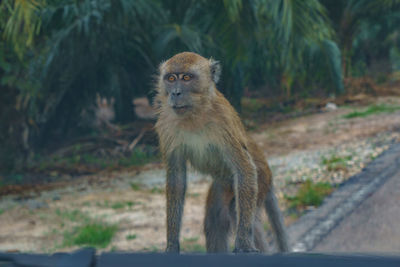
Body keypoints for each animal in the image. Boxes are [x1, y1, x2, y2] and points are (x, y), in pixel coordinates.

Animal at [155, 51, 290, 253]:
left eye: (186, 78)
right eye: (171, 78)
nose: (175, 93)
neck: (195, 114)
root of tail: (268, 170)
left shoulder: (223, 121)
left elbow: (244, 168)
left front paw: (243, 242)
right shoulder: (167, 125)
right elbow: (176, 179)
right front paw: (172, 244)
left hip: (260, 180)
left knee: (240, 212)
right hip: (223, 185)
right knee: (215, 221)